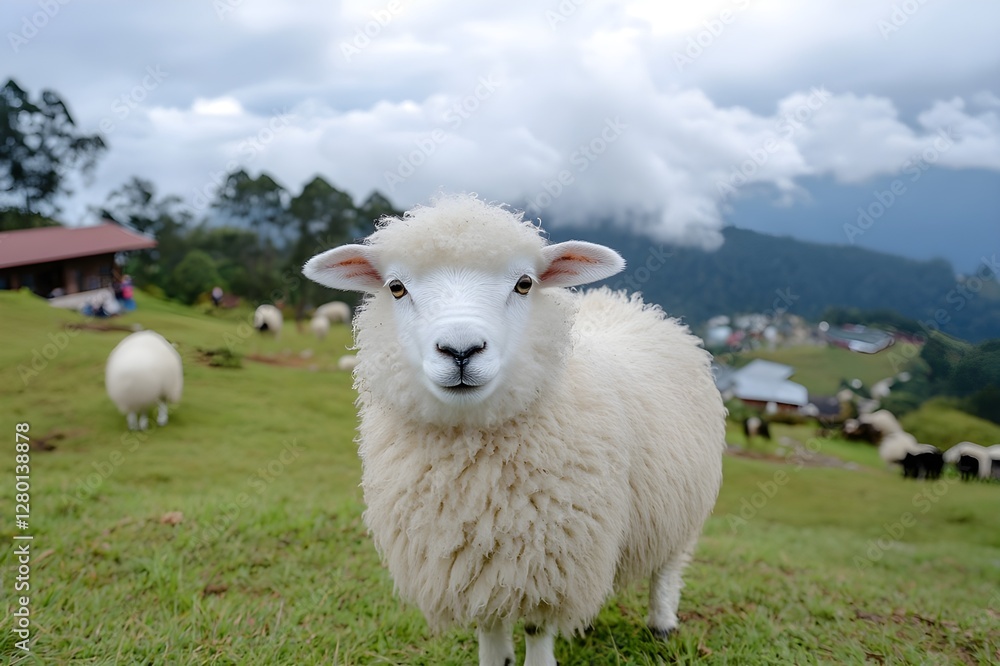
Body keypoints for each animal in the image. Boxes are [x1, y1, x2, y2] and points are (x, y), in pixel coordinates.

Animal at [303, 194, 726, 666]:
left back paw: (662, 624)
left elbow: (537, 629)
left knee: (668, 568)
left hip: (683, 505)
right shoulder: (472, 563)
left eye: (524, 283)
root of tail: (628, 302)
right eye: (396, 287)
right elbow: (489, 623)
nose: (461, 350)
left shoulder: (547, 563)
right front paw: (497, 656)